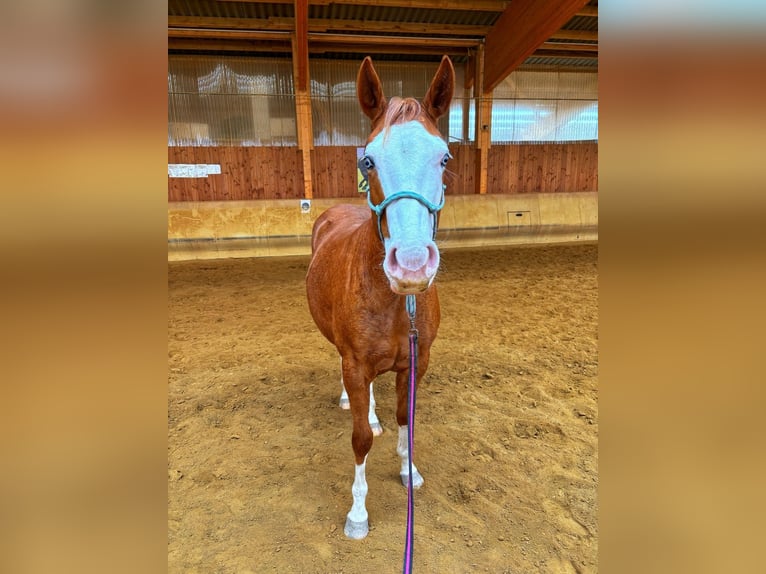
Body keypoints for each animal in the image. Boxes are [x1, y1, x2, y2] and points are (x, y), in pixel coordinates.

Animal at [306, 55, 455, 540]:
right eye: (368, 160)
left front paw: (410, 472)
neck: (393, 304)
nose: (411, 265)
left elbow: (407, 421)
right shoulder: (355, 363)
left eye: (444, 157)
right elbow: (360, 440)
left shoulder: (416, 363)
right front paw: (357, 513)